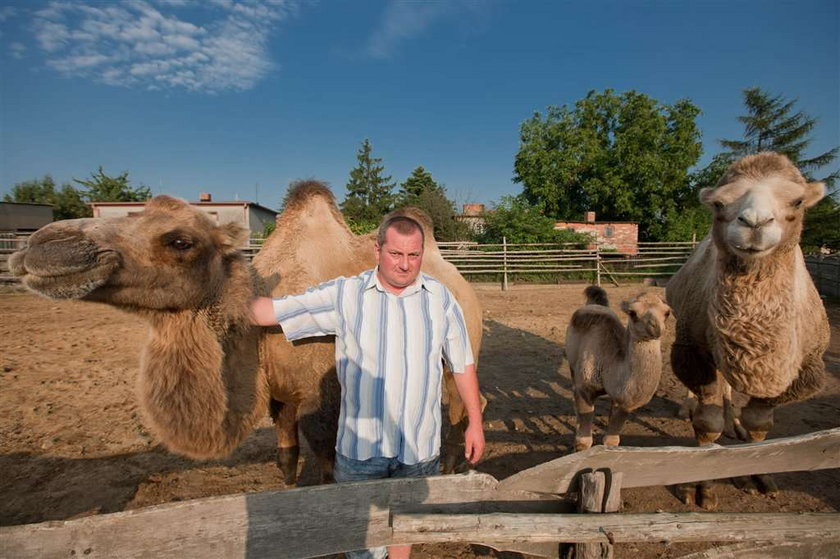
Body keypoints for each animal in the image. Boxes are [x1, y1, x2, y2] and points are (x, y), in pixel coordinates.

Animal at [11, 182, 486, 484]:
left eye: (180, 241)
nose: (42, 247)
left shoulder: (322, 396)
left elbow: (330, 465)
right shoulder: (280, 396)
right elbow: (286, 457)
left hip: (462, 344)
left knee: (461, 400)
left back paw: (451, 466)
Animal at [568, 286, 672, 452]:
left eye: (667, 312)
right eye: (632, 313)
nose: (656, 328)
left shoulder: (622, 400)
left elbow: (611, 440)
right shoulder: (585, 388)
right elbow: (583, 442)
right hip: (572, 362)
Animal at [668, 152, 832, 508]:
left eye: (797, 201)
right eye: (719, 203)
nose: (755, 223)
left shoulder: (807, 367)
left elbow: (760, 422)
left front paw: (760, 474)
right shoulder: (692, 350)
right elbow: (707, 421)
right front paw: (700, 487)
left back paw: (734, 426)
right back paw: (692, 409)